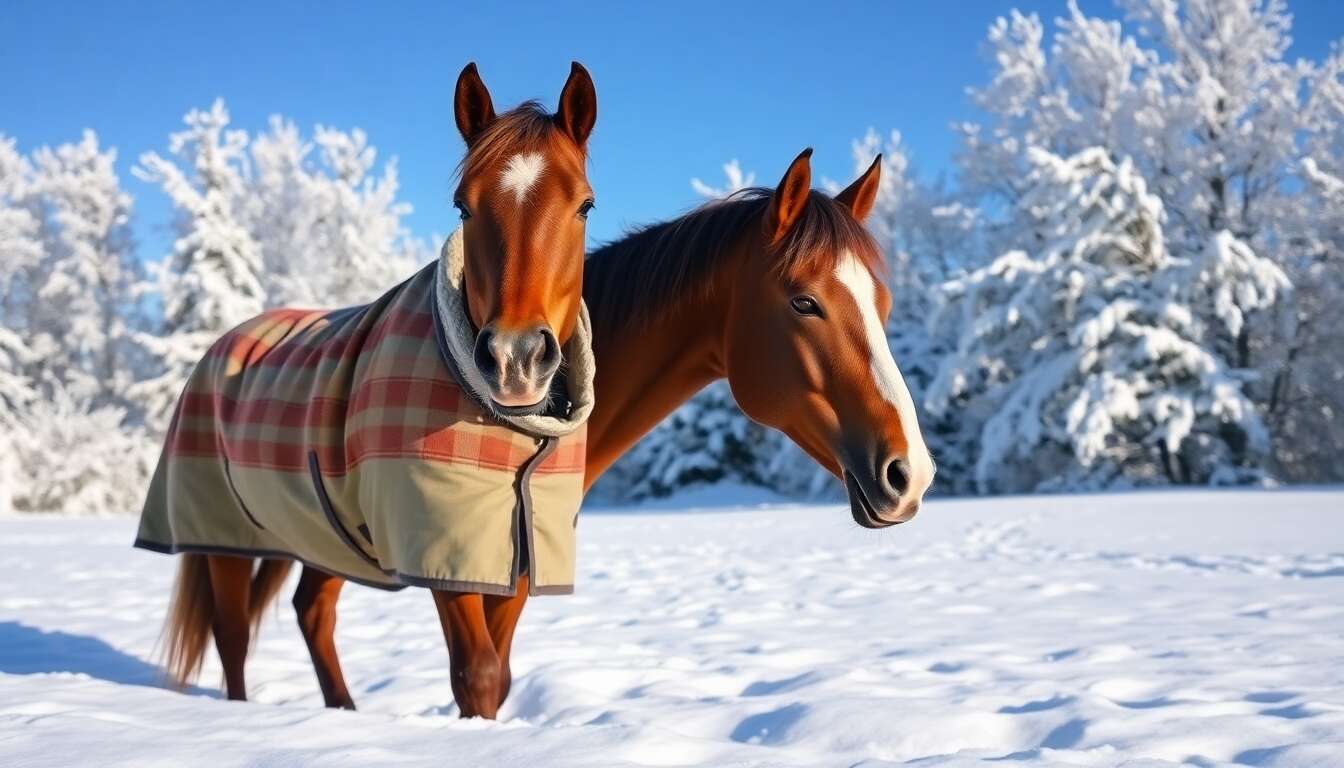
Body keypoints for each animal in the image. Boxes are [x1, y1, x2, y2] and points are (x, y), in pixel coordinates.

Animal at [269, 148, 936, 717]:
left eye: (883, 305)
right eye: (803, 302)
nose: (911, 474)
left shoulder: (519, 560)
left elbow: (498, 676)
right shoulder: (442, 548)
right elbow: (476, 678)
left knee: (308, 611)